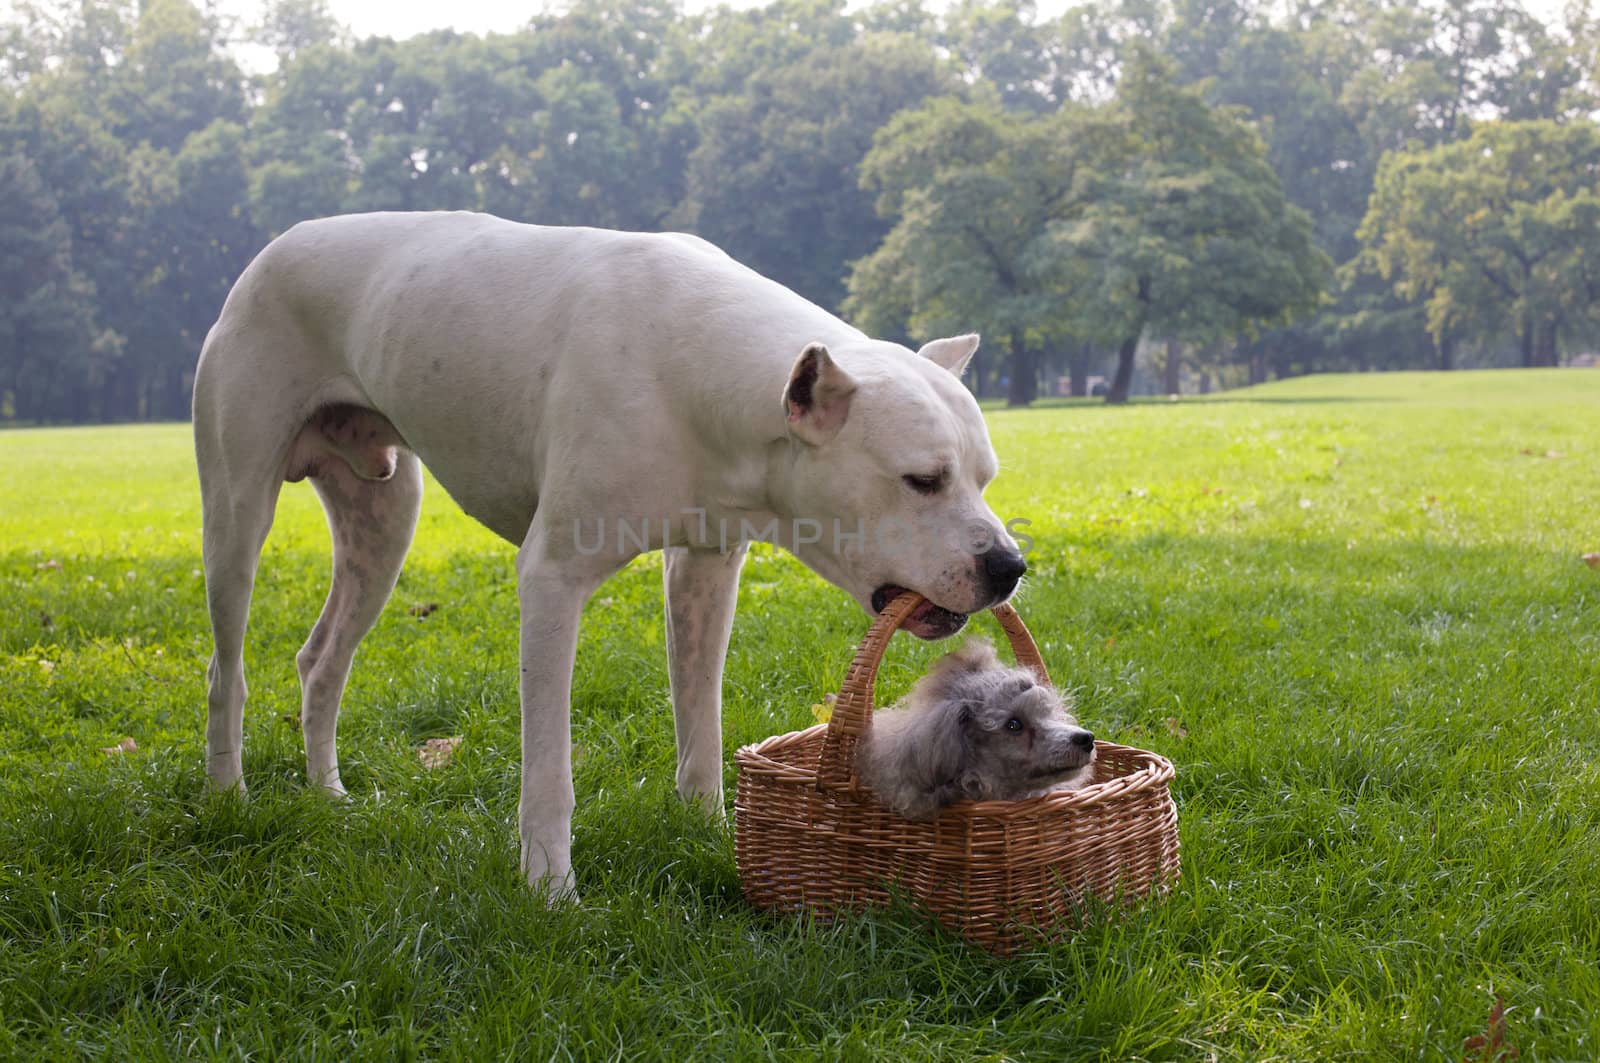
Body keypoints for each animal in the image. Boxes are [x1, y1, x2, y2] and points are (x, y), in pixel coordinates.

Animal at [196, 209, 1024, 896]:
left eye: (986, 476)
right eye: (922, 479)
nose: (1010, 567)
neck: (699, 372)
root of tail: (273, 248)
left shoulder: (705, 570)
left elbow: (700, 724)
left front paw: (707, 830)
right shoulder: (553, 579)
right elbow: (549, 768)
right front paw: (549, 888)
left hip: (384, 522)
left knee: (322, 659)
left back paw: (327, 793)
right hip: (237, 515)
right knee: (226, 670)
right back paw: (228, 795)